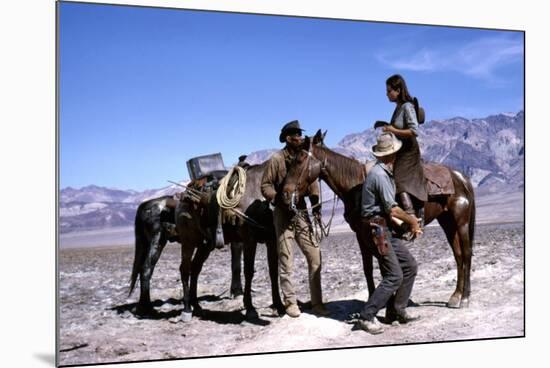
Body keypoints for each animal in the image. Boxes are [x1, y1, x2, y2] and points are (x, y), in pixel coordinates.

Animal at [282, 129, 476, 308]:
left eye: (299, 160)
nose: (285, 193)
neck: (356, 186)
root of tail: (459, 176)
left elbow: (382, 267)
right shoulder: (361, 234)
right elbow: (368, 267)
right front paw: (374, 298)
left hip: (461, 221)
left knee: (466, 254)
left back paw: (465, 298)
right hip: (447, 222)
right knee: (458, 255)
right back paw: (455, 296)